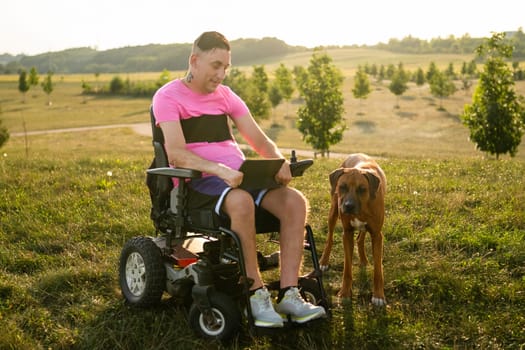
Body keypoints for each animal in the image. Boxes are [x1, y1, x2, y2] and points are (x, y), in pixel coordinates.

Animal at [318, 152, 386, 304]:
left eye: (362, 189)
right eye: (342, 186)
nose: (348, 206)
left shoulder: (377, 235)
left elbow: (378, 270)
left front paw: (378, 295)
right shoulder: (347, 233)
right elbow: (347, 269)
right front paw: (344, 293)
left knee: (360, 239)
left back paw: (363, 260)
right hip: (333, 211)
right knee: (329, 238)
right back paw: (324, 261)